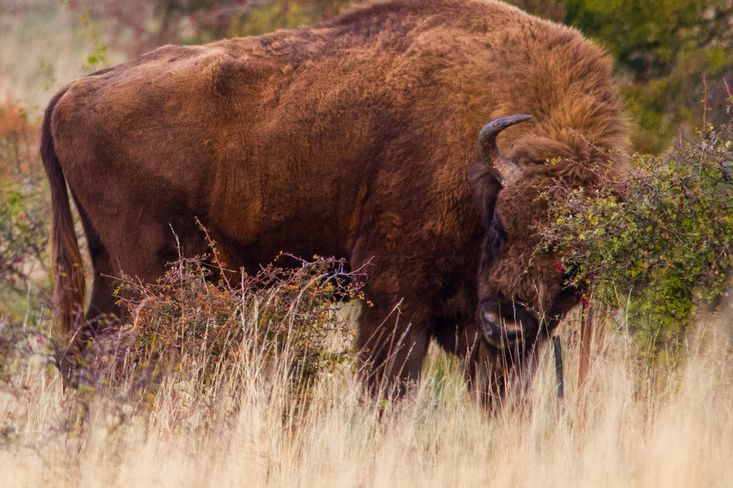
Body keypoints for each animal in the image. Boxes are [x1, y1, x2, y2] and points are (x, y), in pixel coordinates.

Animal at [41, 0, 624, 400]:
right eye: (501, 227)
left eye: (574, 260)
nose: (507, 324)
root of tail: (75, 90)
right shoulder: (394, 298)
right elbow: (387, 390)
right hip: (144, 278)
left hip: (112, 274)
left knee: (82, 356)